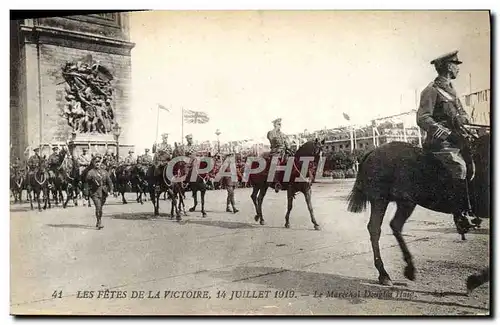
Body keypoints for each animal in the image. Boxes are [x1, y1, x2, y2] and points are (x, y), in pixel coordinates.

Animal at [346, 130, 490, 284]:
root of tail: (374, 151)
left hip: (405, 202)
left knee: (395, 225)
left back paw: (408, 268)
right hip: (381, 199)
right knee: (375, 229)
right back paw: (384, 274)